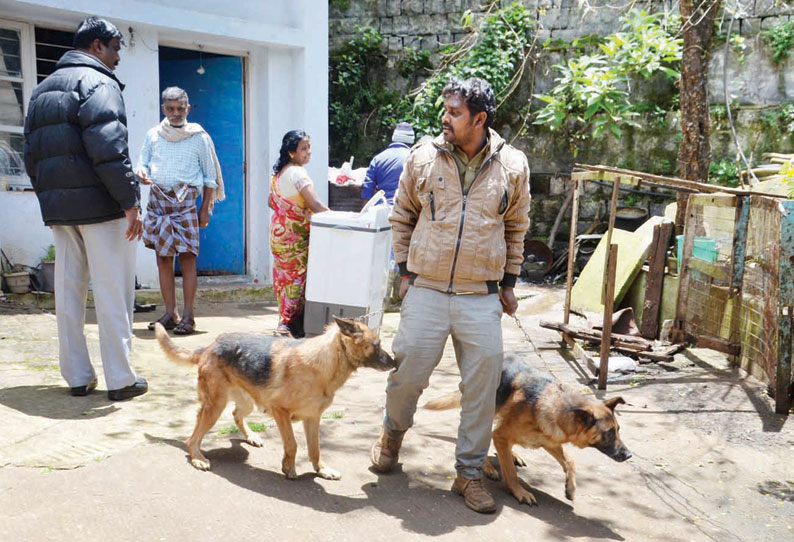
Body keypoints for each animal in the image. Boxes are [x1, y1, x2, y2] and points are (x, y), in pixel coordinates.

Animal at [153, 318, 394, 480]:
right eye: (377, 344)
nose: (395, 362)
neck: (325, 362)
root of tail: (210, 346)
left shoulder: (312, 418)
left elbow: (315, 449)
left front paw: (322, 470)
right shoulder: (281, 412)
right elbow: (293, 444)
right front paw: (289, 468)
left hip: (247, 404)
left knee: (236, 414)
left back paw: (251, 436)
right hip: (215, 406)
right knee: (192, 438)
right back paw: (197, 458)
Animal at [426, 354, 632, 508]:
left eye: (618, 430)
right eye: (609, 433)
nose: (629, 455)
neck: (553, 407)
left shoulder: (550, 442)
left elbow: (570, 462)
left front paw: (571, 488)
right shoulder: (502, 435)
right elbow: (510, 473)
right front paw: (519, 492)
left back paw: (512, 455)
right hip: (486, 409)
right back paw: (488, 466)